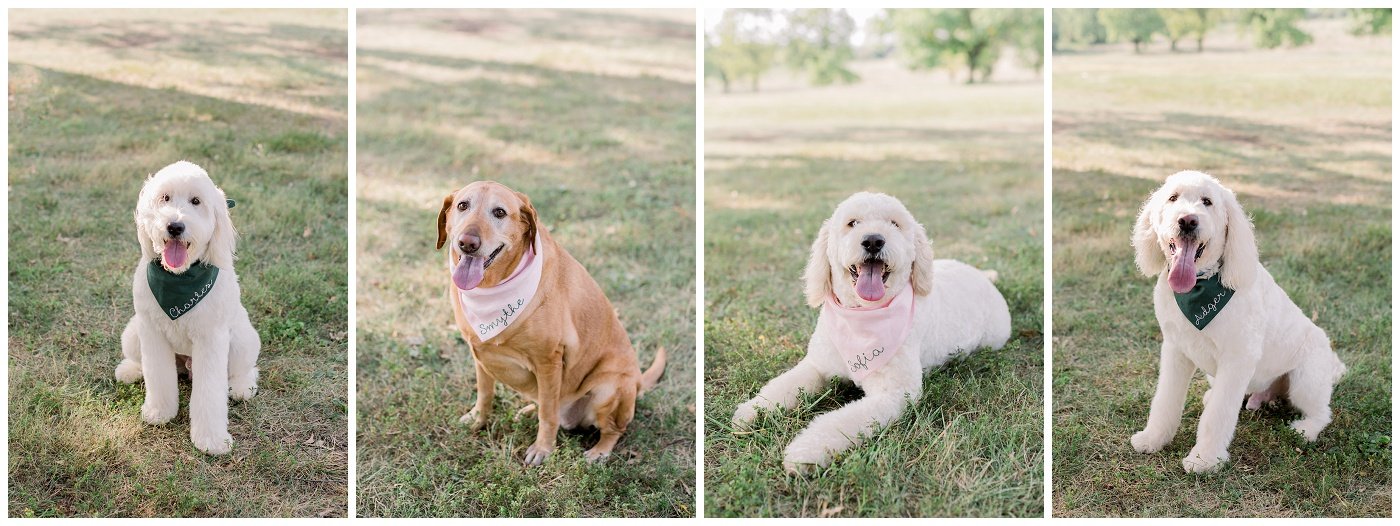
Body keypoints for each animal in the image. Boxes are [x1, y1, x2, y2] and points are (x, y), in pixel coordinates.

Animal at [113, 161, 261, 456]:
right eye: (165, 198)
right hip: (134, 333)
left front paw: (211, 440)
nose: (175, 226)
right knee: (140, 360)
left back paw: (242, 387)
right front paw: (159, 412)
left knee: (246, 368)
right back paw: (131, 369)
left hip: (242, 339)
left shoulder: (211, 341)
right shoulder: (152, 332)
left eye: (196, 201)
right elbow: (157, 376)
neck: (179, 278)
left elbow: (209, 394)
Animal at [733, 191, 1008, 470]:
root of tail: (980, 275)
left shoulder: (894, 394)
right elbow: (781, 387)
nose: (873, 240)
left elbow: (840, 422)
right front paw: (752, 411)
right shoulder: (816, 366)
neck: (861, 317)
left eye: (894, 224)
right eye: (852, 223)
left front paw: (805, 452)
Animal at [1125, 171, 1344, 472]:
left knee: (1323, 413)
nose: (1187, 220)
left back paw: (1306, 429)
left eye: (1207, 202)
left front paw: (1204, 460)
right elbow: (1165, 400)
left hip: (1305, 382)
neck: (1199, 286)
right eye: (1173, 198)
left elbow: (1218, 415)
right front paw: (1153, 438)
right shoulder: (1175, 351)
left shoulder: (1238, 359)